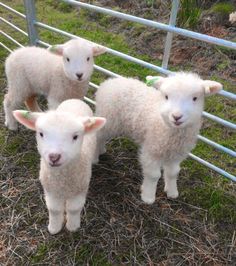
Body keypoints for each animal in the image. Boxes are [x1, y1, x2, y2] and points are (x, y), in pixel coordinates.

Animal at [12, 98, 105, 234]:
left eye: (75, 136)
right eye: (41, 134)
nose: (54, 157)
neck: (62, 180)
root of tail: (74, 99)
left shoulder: (80, 189)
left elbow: (74, 209)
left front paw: (72, 227)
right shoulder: (50, 190)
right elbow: (54, 209)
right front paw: (54, 228)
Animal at [95, 72, 222, 204]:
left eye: (195, 98)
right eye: (166, 97)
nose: (176, 116)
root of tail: (109, 82)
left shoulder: (176, 154)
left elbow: (173, 173)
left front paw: (172, 192)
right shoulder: (152, 149)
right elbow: (153, 175)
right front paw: (148, 197)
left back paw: (101, 150)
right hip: (109, 119)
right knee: (97, 136)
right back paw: (94, 157)